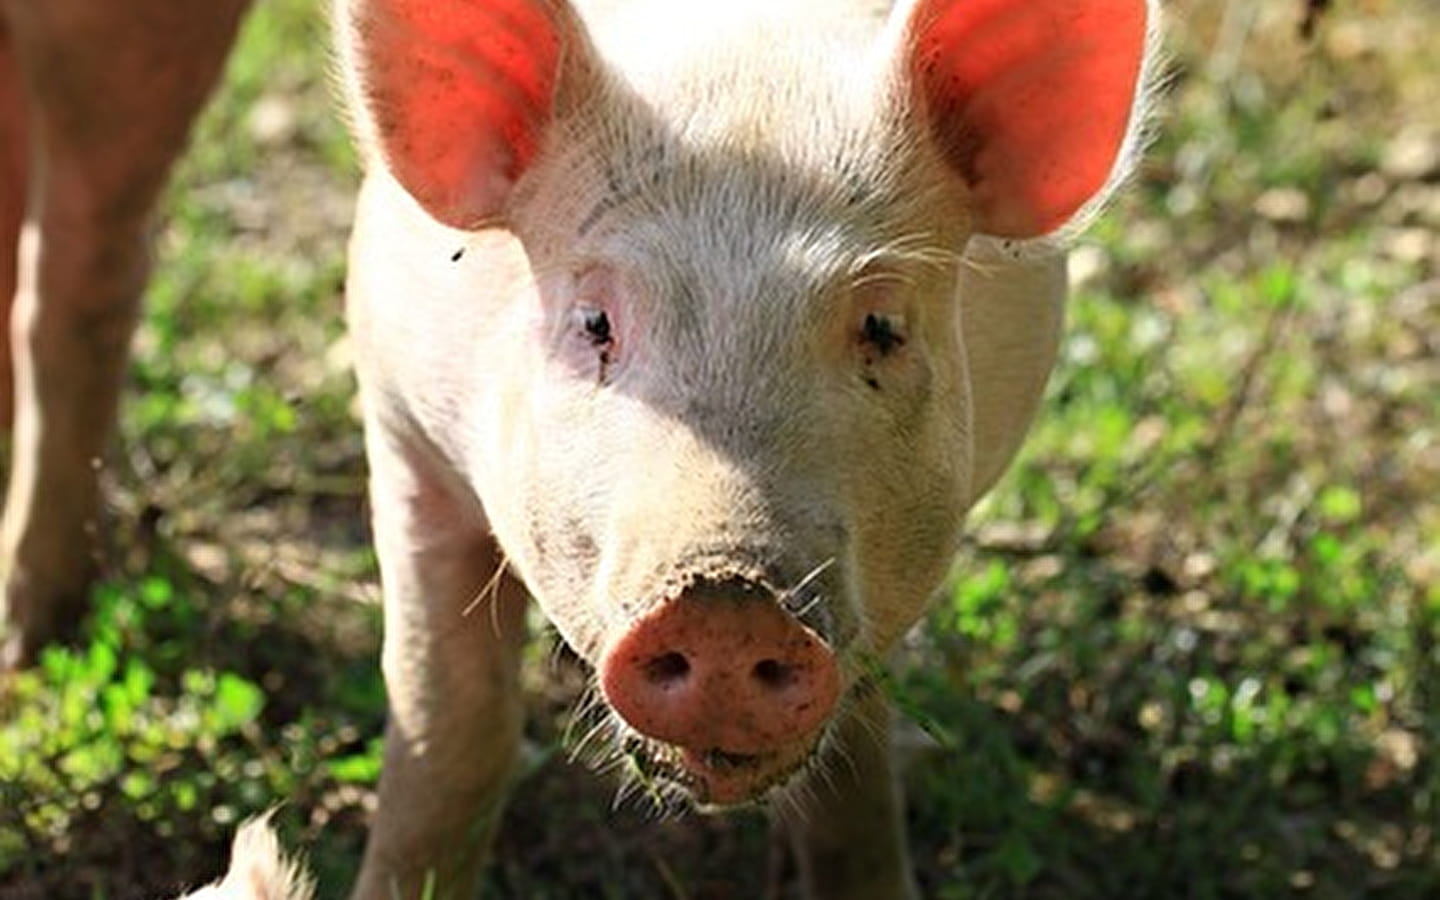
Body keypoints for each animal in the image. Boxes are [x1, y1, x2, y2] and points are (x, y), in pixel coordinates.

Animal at [334, 0, 1157, 892]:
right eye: (594, 323)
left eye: (883, 327)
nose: (725, 604)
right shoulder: (405, 434)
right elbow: (453, 718)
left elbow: (853, 760)